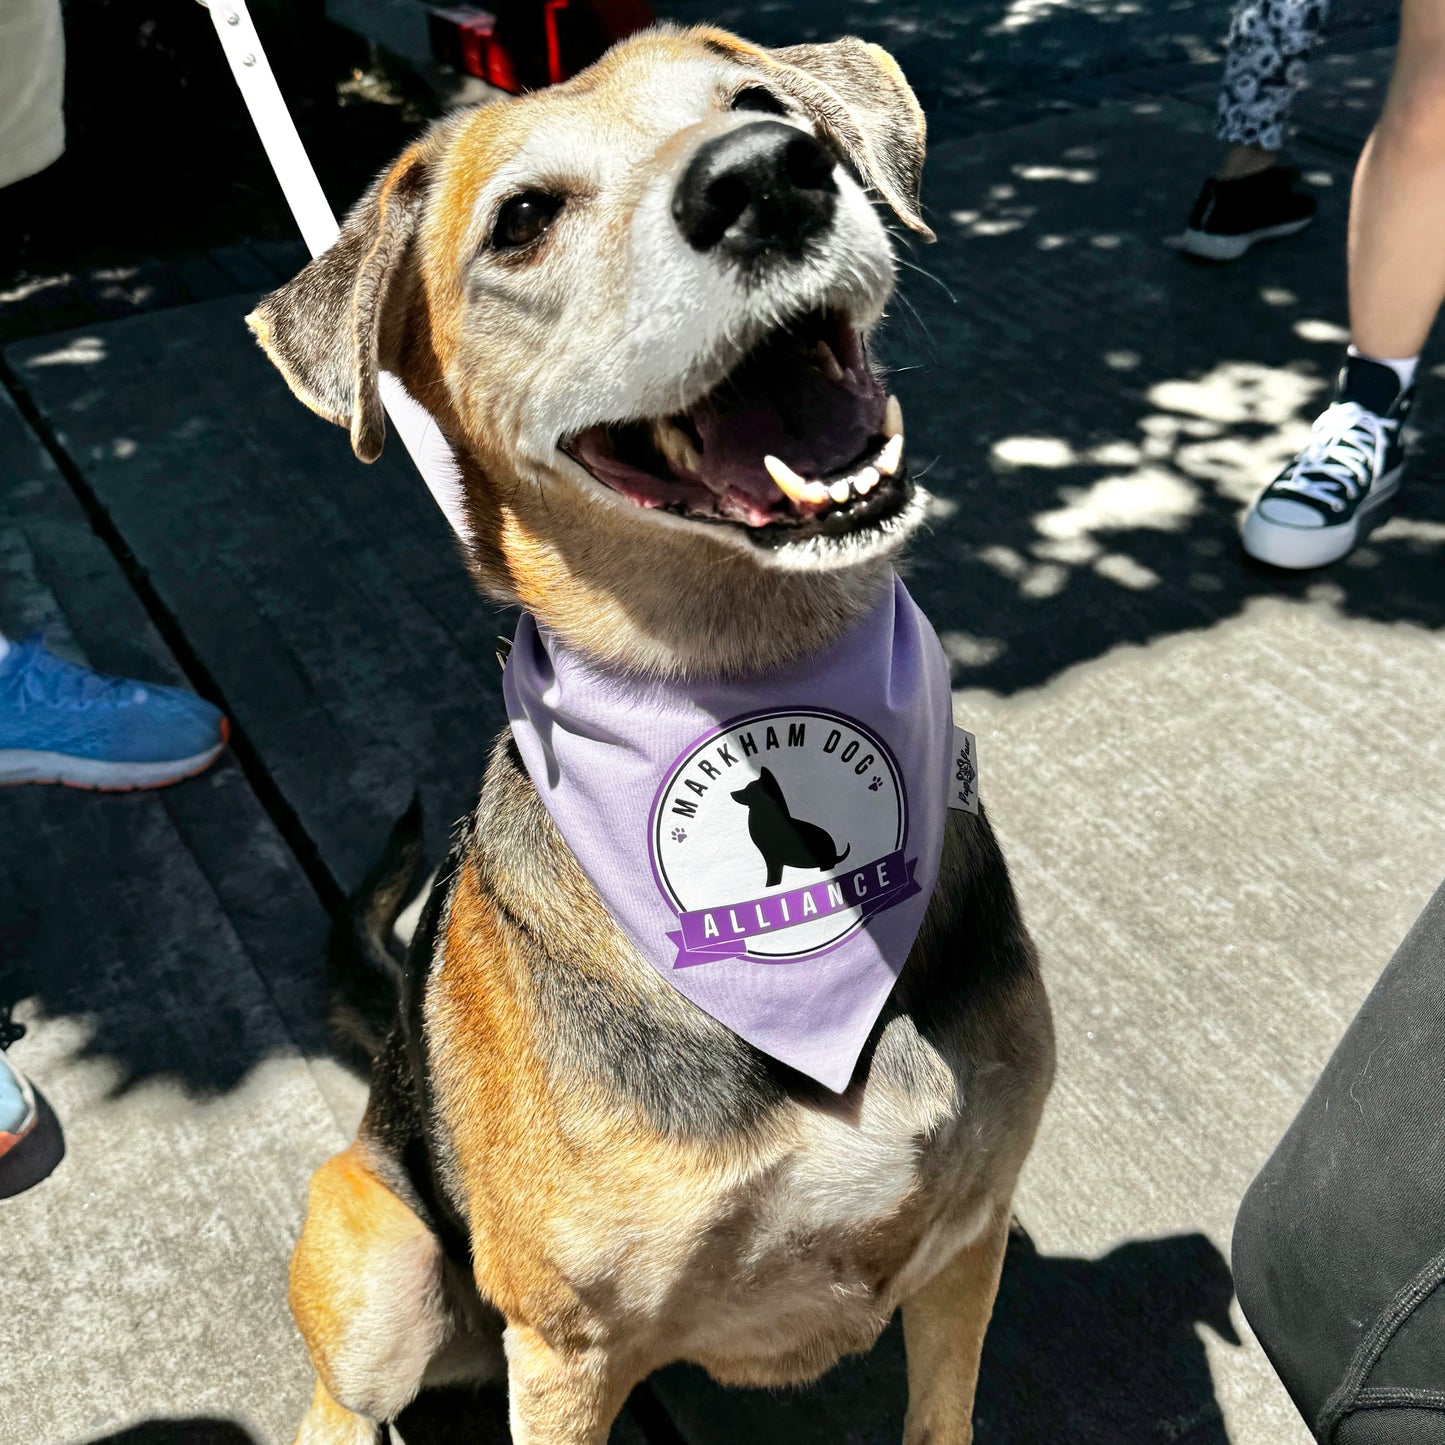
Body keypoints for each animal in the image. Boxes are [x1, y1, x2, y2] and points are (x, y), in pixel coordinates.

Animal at [248, 25, 1057, 1445]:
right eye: (521, 220)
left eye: (761, 103)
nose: (765, 178)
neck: (746, 679)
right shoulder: (566, 1347)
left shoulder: (969, 1233)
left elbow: (940, 1407)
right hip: (381, 1262)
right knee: (340, 1401)